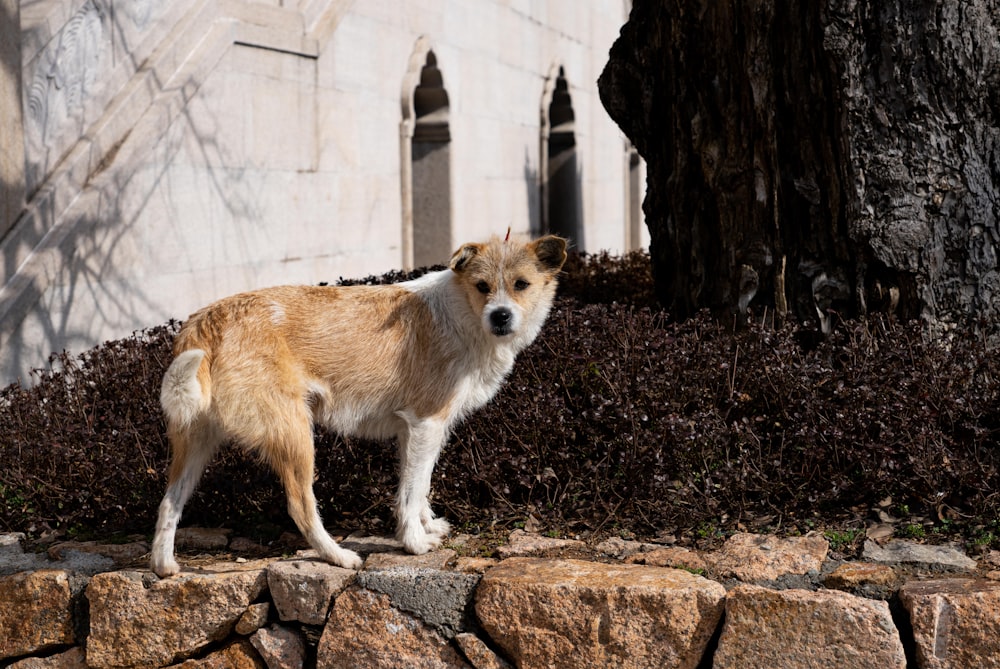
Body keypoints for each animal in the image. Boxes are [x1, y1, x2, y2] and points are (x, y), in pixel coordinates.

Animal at [151, 234, 568, 576]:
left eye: (521, 284)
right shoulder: (426, 424)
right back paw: (339, 556)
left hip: (195, 444)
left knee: (169, 502)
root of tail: (205, 322)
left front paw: (427, 526)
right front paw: (414, 543)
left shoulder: (417, 433)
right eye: (482, 286)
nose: (501, 316)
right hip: (295, 436)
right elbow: (411, 491)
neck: (463, 313)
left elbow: (419, 485)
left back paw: (163, 566)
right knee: (301, 506)